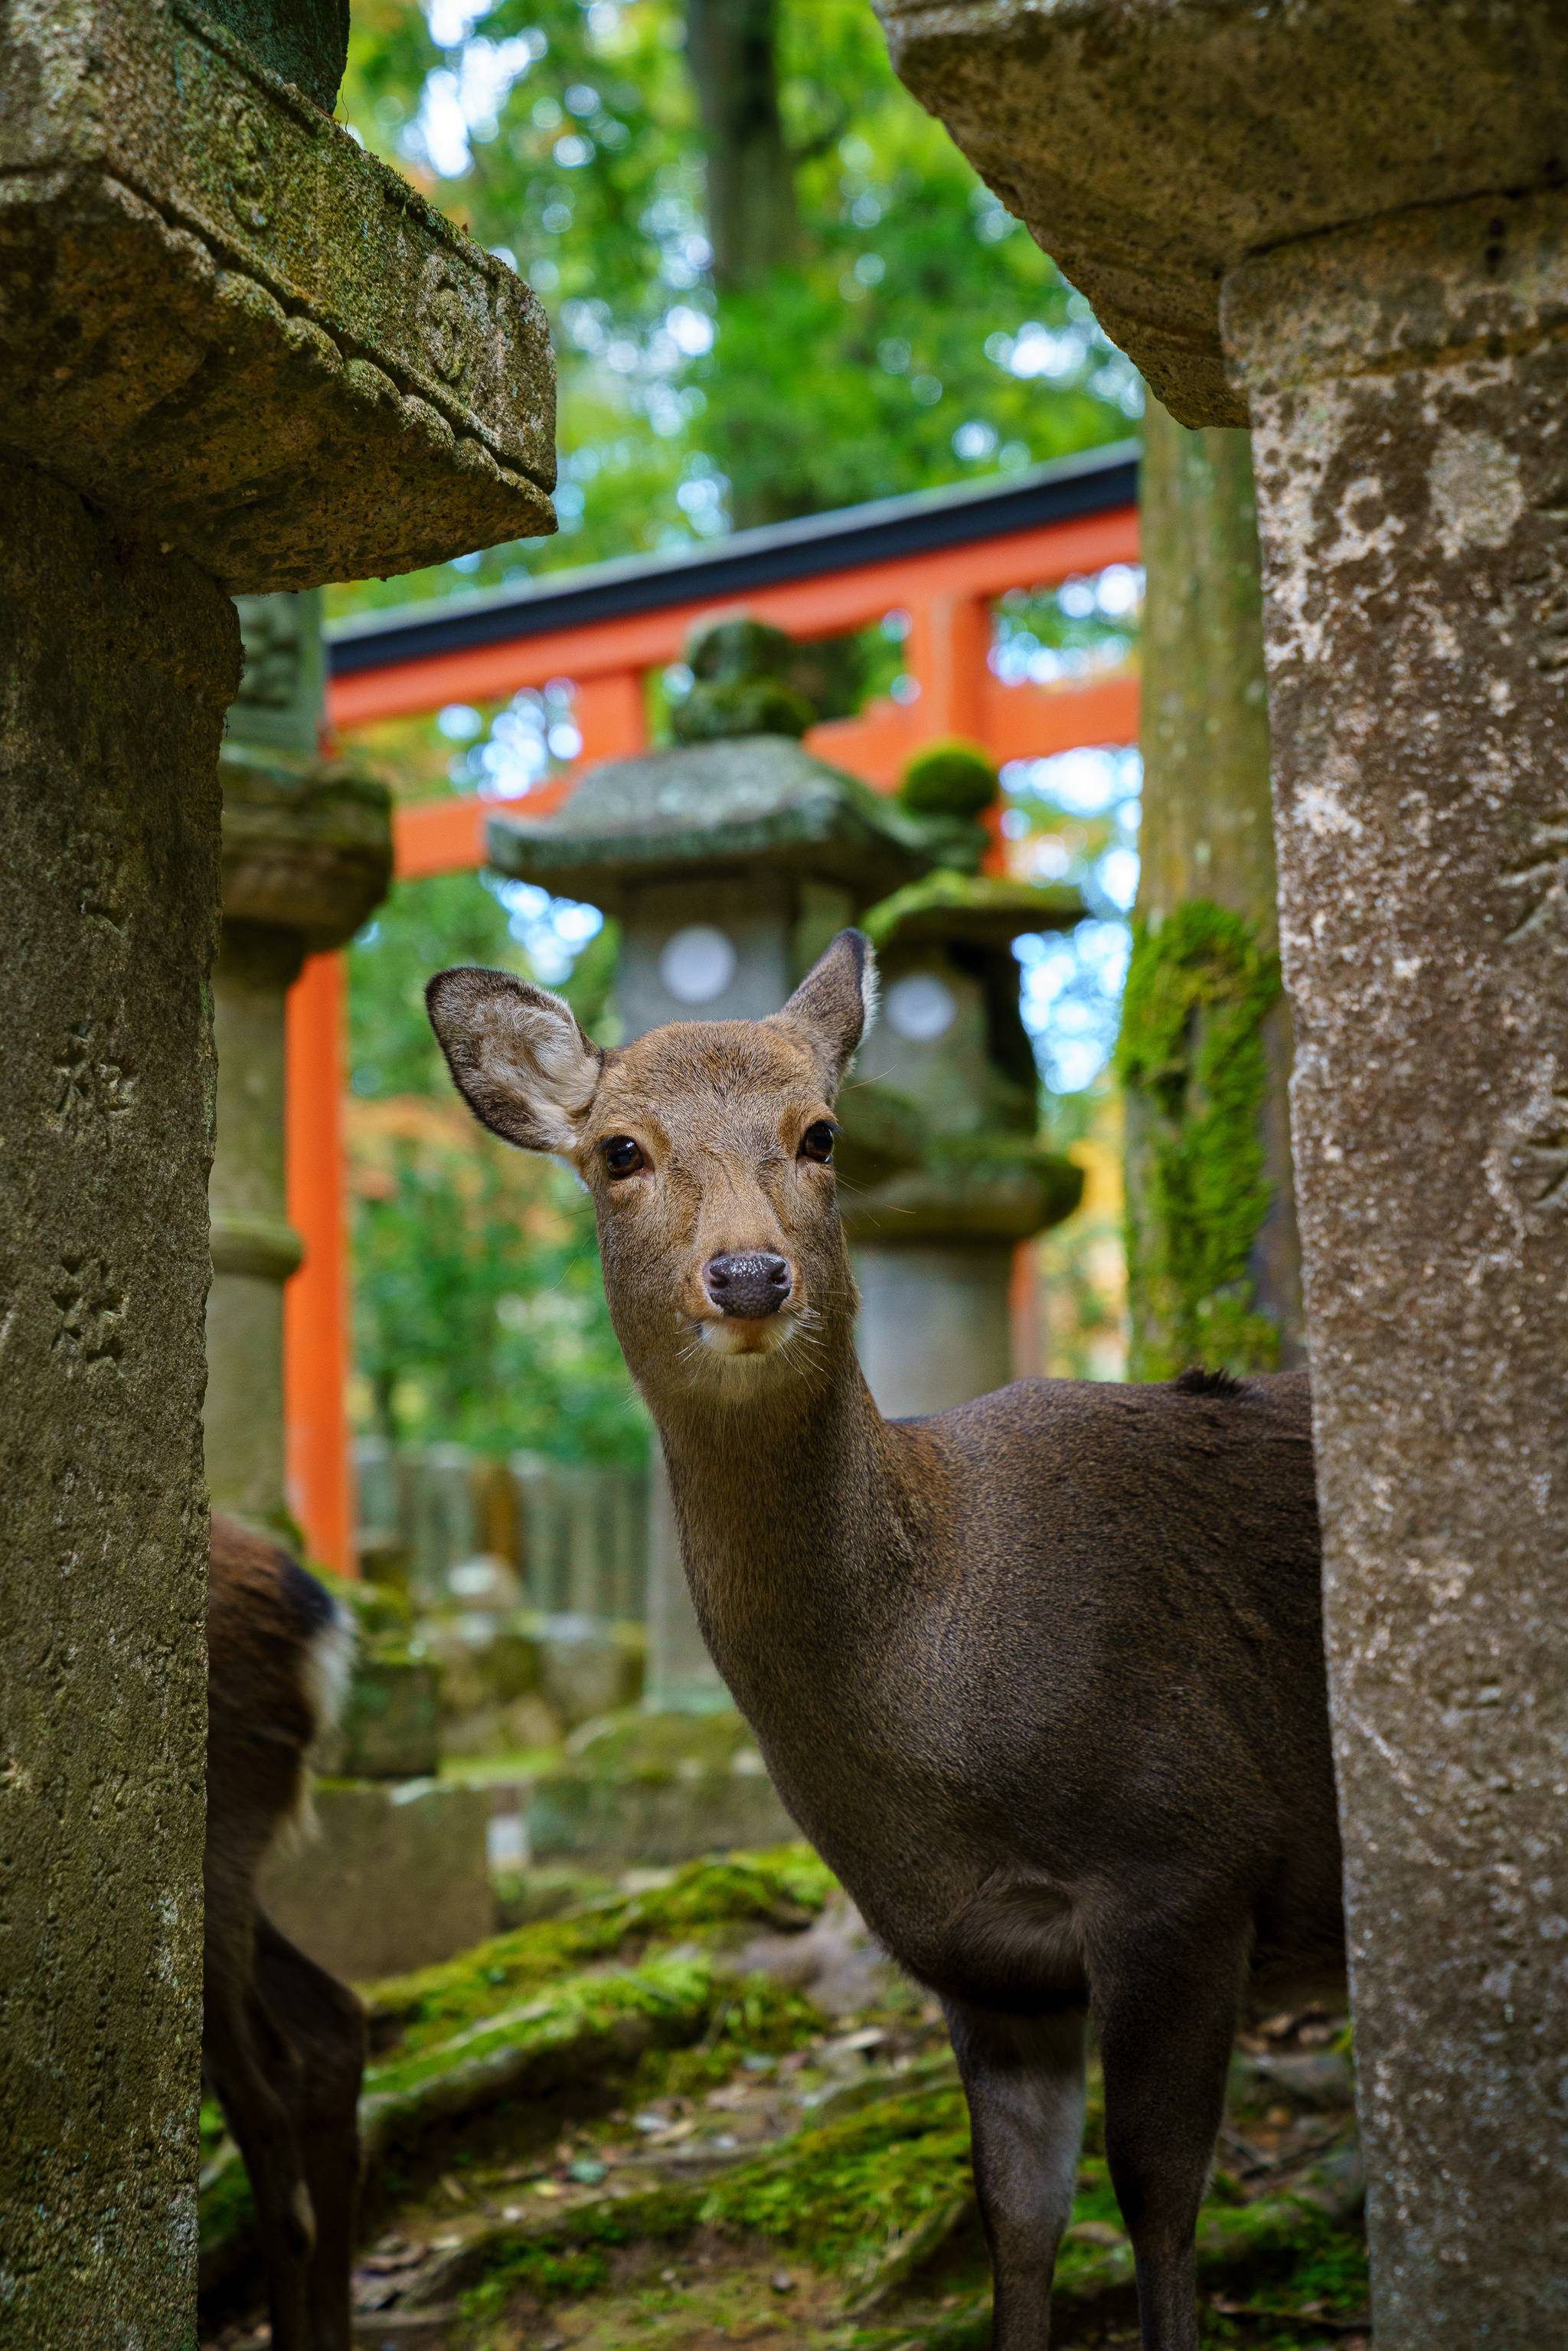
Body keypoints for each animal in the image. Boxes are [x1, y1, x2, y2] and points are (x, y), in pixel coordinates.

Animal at [425, 935, 1354, 2351]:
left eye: (821, 1133)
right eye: (617, 1150)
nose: (749, 1274)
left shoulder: (1186, 1858)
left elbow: (1156, 2197)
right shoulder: (979, 1958)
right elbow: (1015, 2215)